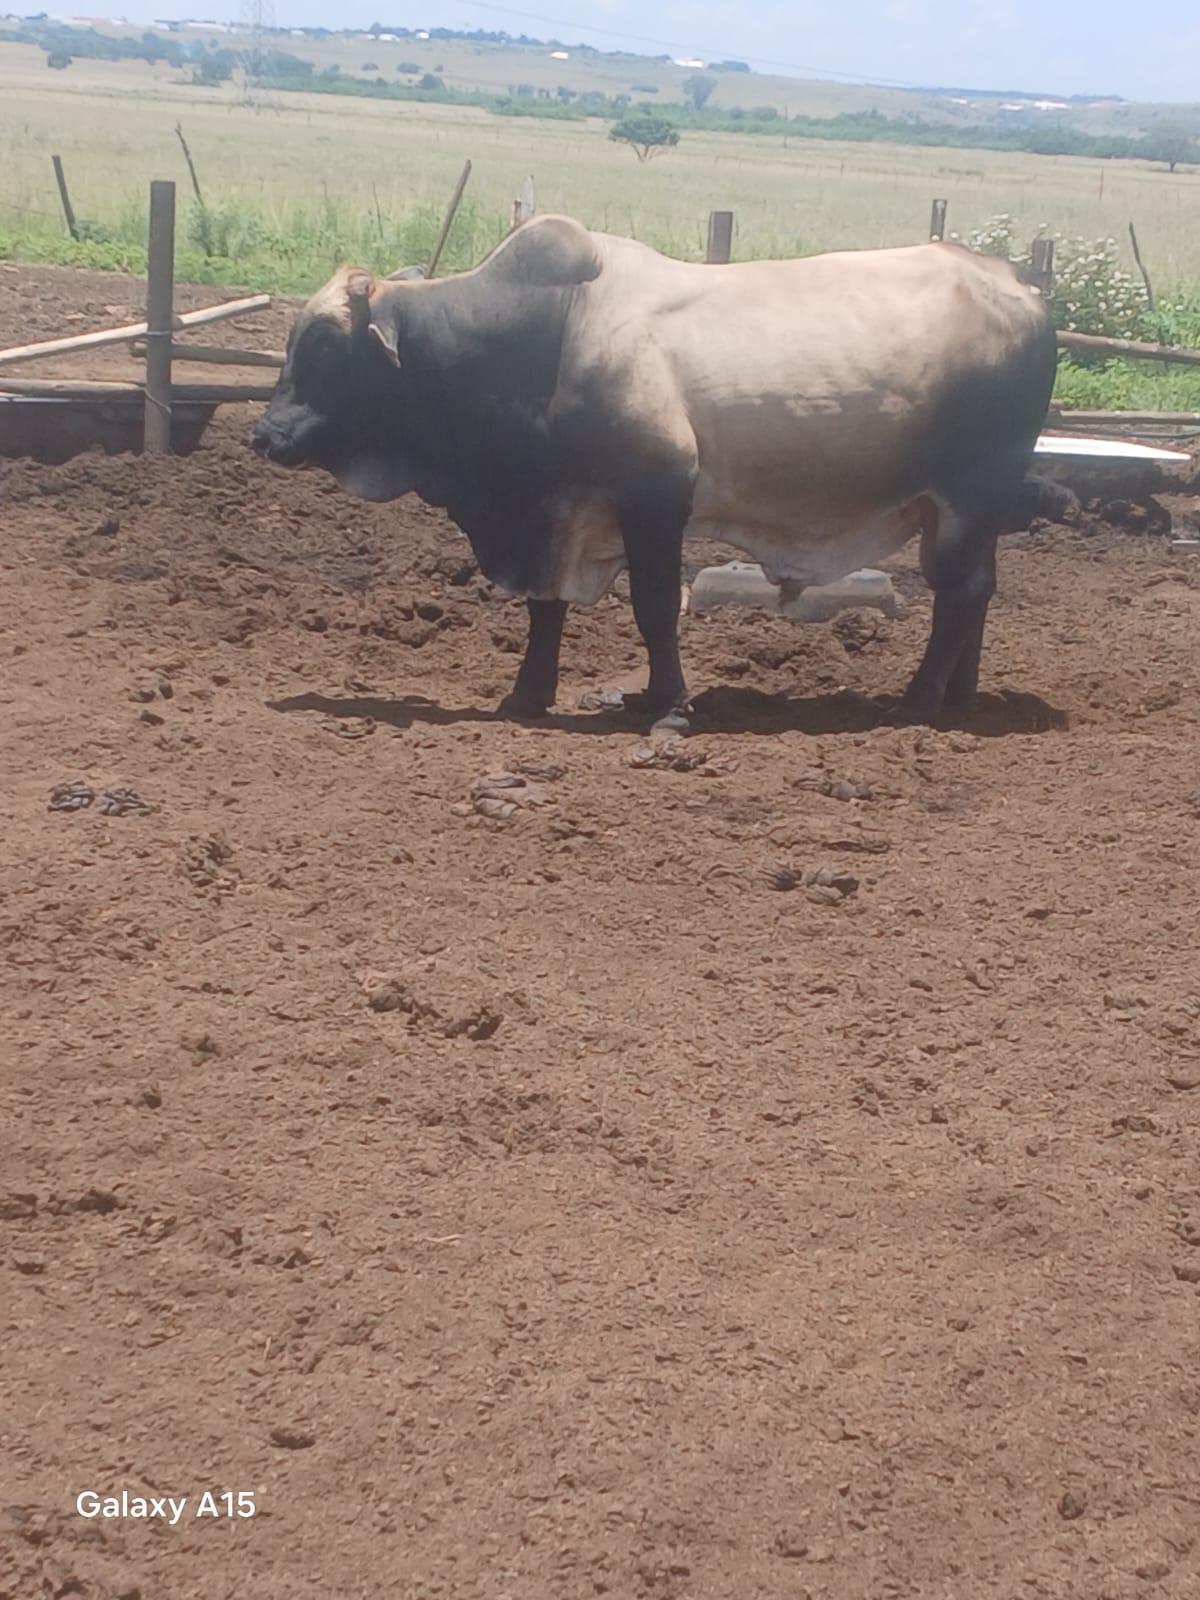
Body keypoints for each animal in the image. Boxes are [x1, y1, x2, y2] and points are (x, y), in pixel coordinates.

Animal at [251, 215, 1057, 726]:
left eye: (326, 345)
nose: (265, 433)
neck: (535, 341)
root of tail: (1021, 287)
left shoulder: (656, 499)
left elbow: (654, 609)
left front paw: (668, 707)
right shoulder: (554, 515)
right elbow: (545, 609)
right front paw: (526, 697)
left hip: (969, 497)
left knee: (961, 592)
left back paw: (917, 704)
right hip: (964, 511)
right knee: (974, 592)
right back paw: (957, 697)